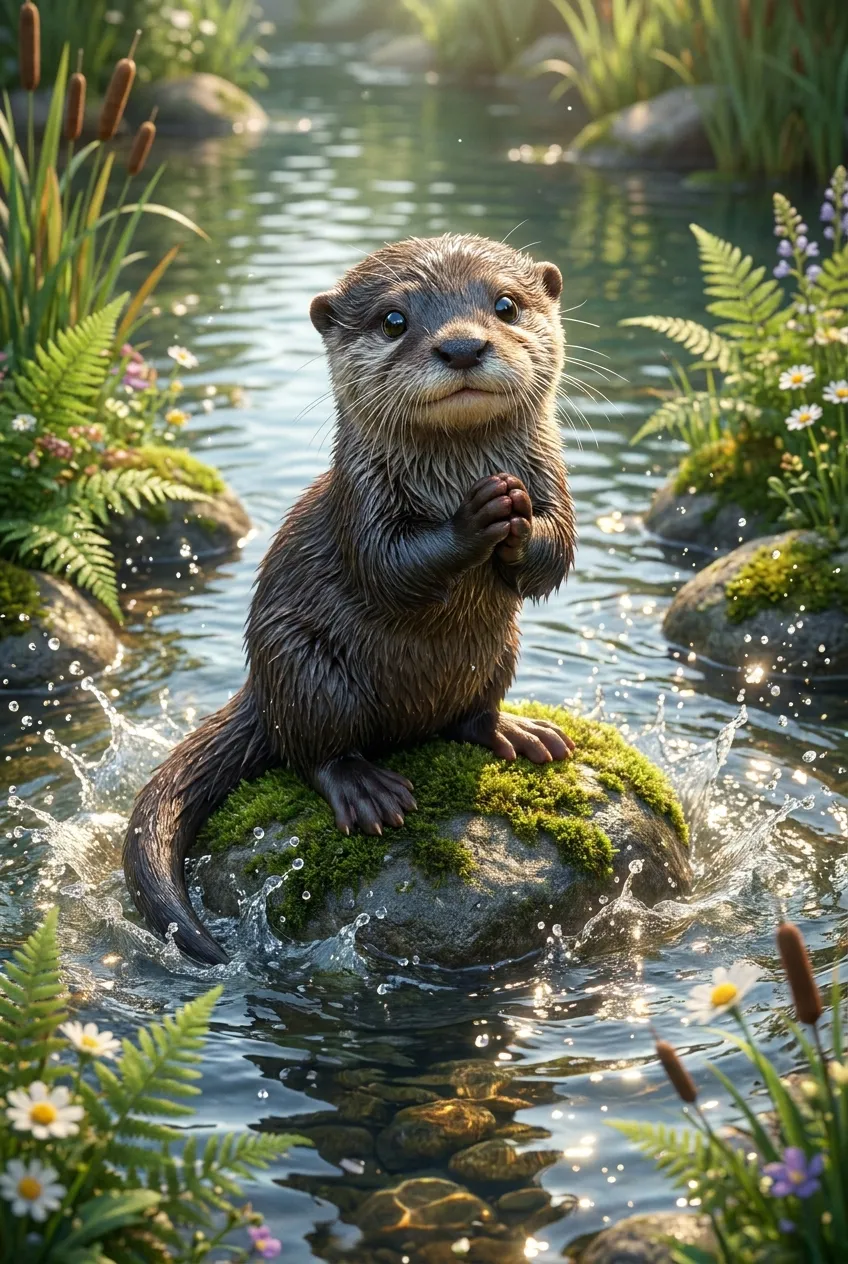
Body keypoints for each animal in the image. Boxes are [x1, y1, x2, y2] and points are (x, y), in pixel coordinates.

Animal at [123, 233, 577, 965]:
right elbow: (389, 567)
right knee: (312, 751)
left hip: (499, 650)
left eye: (505, 305)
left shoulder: (554, 482)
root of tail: (259, 691)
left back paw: (518, 731)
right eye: (394, 320)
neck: (452, 472)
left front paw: (517, 521)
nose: (461, 347)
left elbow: (557, 551)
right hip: (304, 666)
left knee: (468, 717)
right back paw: (366, 789)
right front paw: (478, 518)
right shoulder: (359, 503)